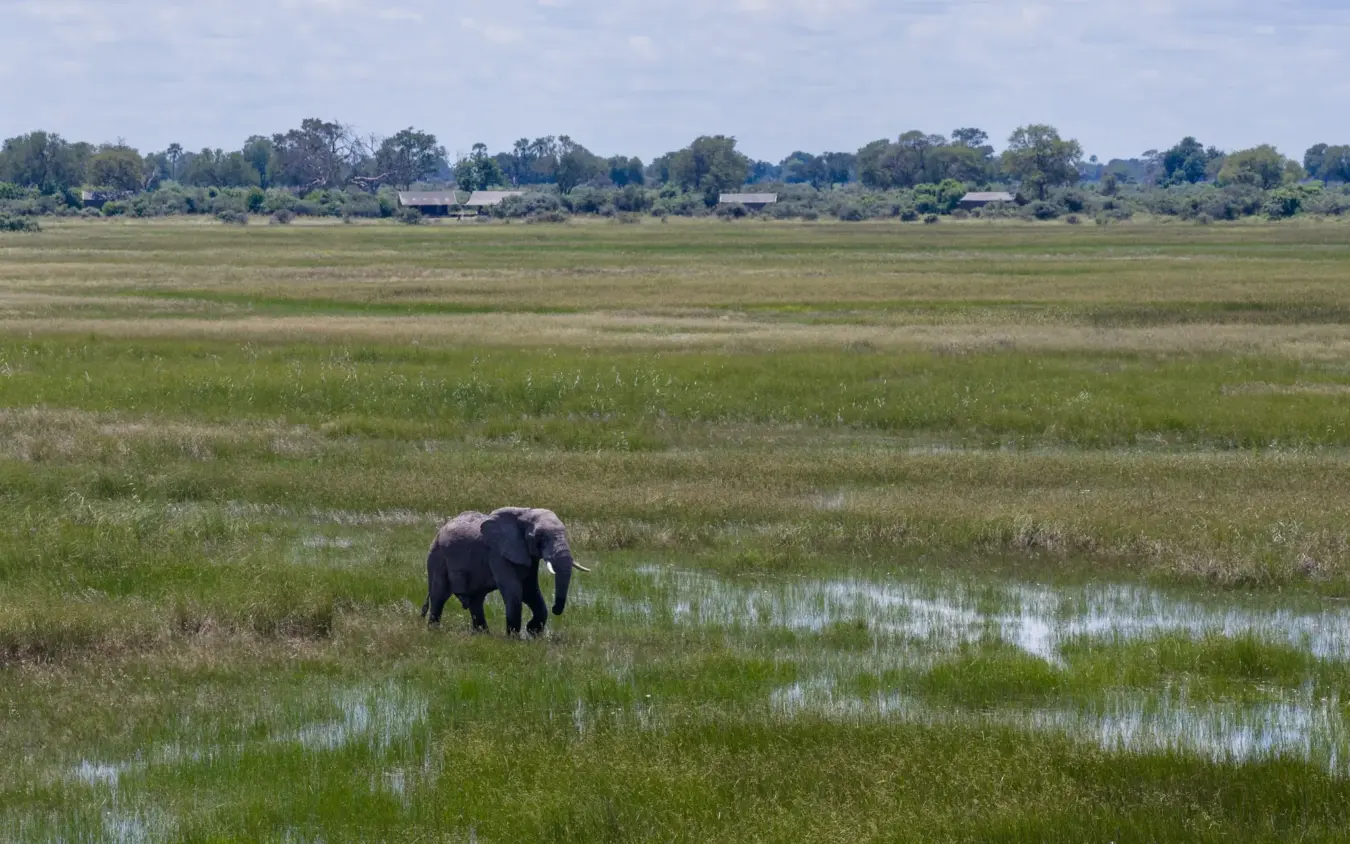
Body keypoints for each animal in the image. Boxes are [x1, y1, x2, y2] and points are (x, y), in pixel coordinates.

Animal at [420, 507, 590, 636]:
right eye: (540, 537)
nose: (556, 609)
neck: (524, 513)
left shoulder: (527, 555)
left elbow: (530, 591)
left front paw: (533, 632)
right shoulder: (498, 553)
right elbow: (514, 590)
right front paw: (514, 638)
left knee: (476, 600)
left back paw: (483, 634)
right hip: (437, 556)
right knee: (439, 595)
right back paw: (434, 630)